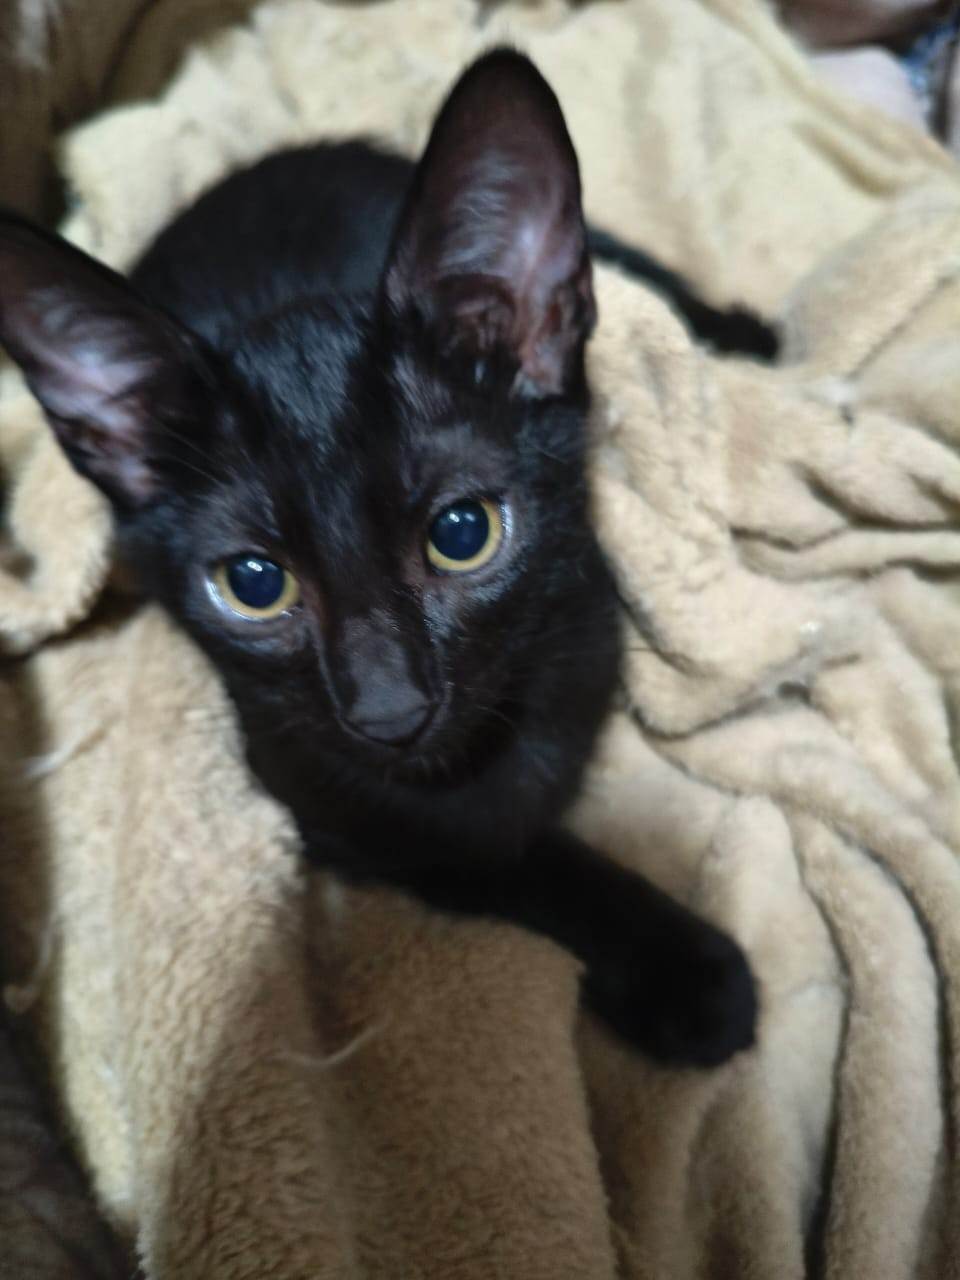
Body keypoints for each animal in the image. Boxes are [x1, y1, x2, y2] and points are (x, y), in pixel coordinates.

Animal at [0, 48, 757, 1066]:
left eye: (463, 533)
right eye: (253, 584)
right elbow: (496, 856)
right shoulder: (321, 796)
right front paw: (684, 972)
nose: (390, 710)